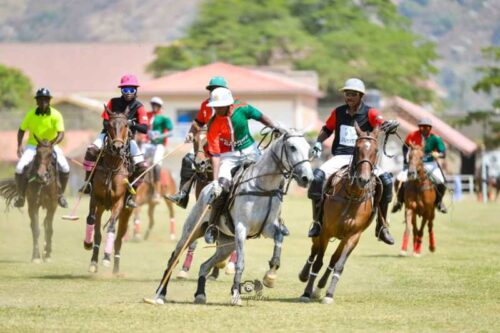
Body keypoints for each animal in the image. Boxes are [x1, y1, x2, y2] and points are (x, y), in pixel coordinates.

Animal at [85, 107, 134, 274]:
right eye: (109, 125)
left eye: (126, 125)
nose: (118, 147)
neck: (112, 166)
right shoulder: (96, 199)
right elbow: (92, 221)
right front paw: (88, 246)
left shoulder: (118, 202)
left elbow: (111, 228)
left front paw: (106, 257)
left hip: (126, 213)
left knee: (119, 239)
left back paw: (116, 269)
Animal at [149, 128, 312, 304]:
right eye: (292, 147)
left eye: (309, 148)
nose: (307, 178)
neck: (263, 187)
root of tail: (207, 189)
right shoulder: (241, 228)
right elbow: (240, 262)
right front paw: (236, 294)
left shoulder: (267, 227)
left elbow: (279, 238)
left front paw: (270, 277)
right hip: (192, 230)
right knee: (174, 258)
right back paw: (160, 294)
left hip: (227, 244)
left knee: (205, 266)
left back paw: (200, 294)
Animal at [296, 124, 382, 304]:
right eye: (357, 149)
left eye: (376, 150)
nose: (363, 179)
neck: (353, 194)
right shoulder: (326, 231)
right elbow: (318, 262)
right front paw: (306, 292)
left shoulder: (353, 236)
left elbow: (339, 265)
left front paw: (328, 294)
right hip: (319, 229)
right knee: (314, 251)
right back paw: (304, 275)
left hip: (342, 237)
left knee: (333, 259)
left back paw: (319, 288)